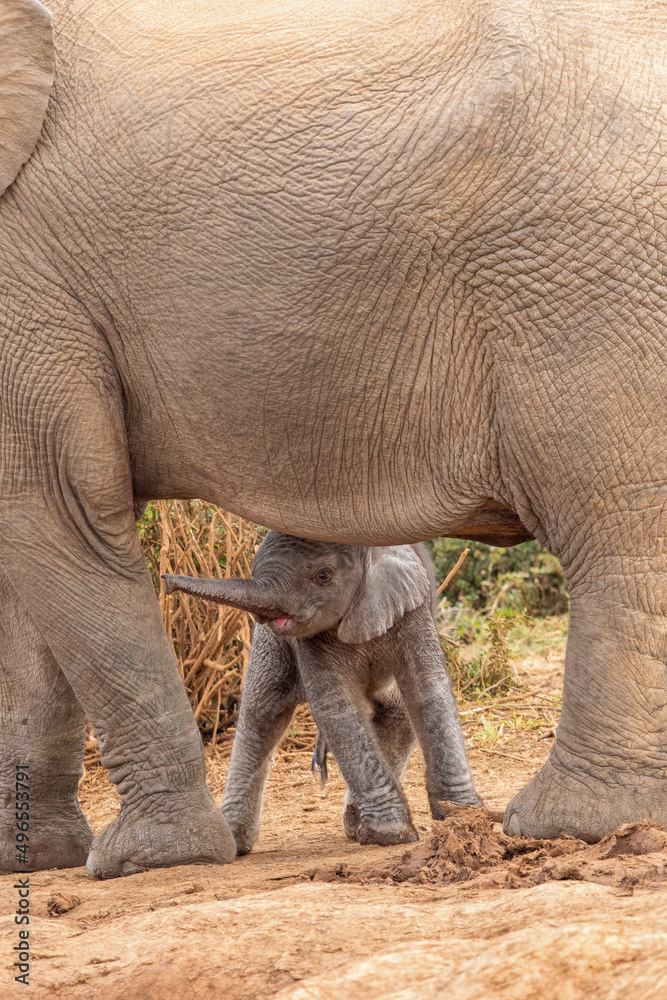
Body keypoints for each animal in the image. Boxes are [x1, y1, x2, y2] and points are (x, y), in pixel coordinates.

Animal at [163, 532, 481, 853]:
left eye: (323, 576)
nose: (165, 581)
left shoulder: (411, 610)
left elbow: (427, 686)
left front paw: (462, 818)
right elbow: (337, 707)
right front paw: (393, 834)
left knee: (397, 713)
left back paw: (354, 824)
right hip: (270, 643)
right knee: (261, 715)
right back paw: (236, 842)